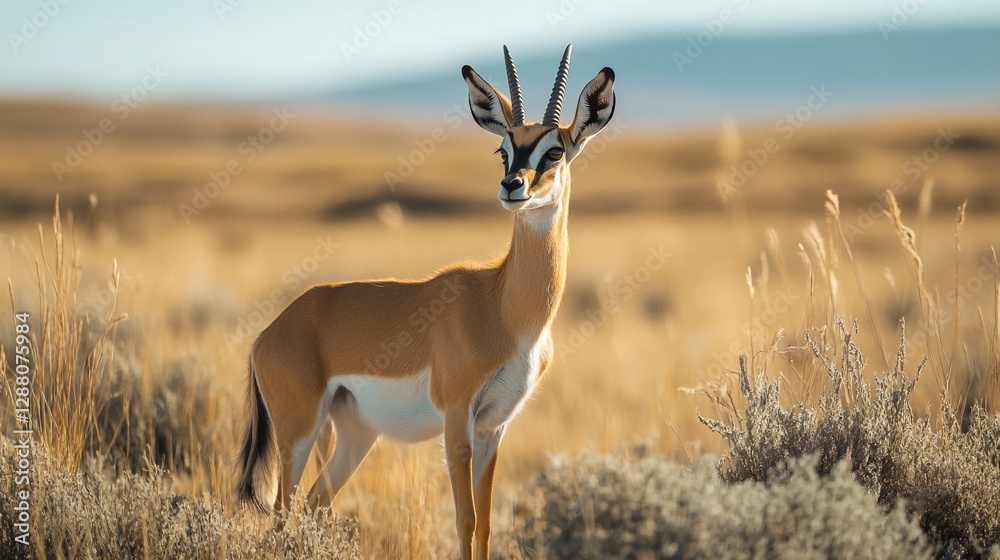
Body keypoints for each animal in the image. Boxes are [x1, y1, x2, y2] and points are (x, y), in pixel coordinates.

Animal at [236, 44, 616, 559]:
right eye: (504, 149)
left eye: (554, 150)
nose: (512, 186)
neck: (504, 309)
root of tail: (268, 333)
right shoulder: (457, 419)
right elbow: (464, 519)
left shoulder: (493, 427)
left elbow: (486, 524)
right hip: (298, 433)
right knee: (281, 516)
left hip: (355, 436)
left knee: (313, 505)